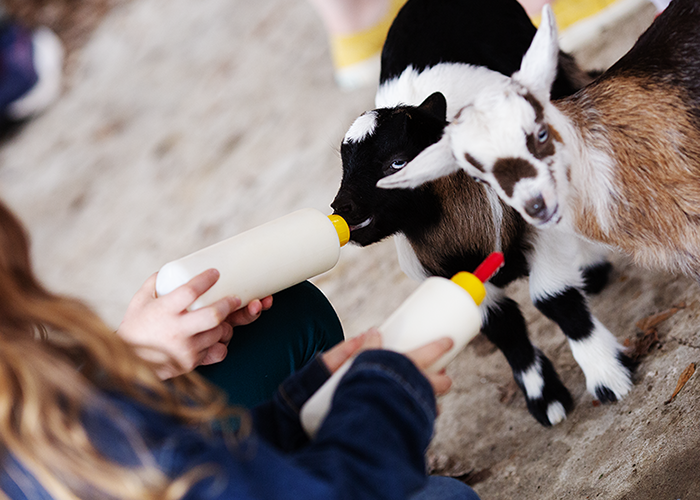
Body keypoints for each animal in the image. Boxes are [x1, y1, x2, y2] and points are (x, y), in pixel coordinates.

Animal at [332, 0, 633, 427]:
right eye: (344, 166)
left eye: (397, 162)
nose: (340, 208)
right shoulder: (452, 277)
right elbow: (503, 327)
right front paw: (545, 398)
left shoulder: (538, 232)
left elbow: (554, 299)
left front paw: (608, 376)